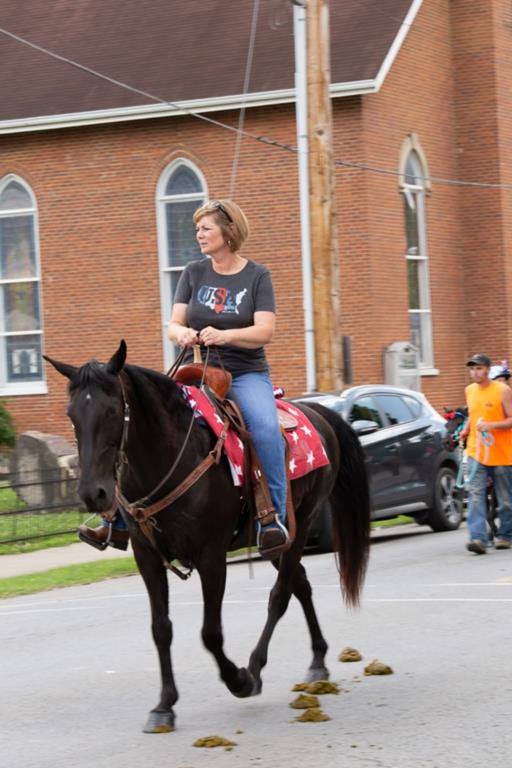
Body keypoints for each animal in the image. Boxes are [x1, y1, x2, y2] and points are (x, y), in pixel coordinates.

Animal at [46, 340, 370, 732]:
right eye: (72, 414)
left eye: (112, 410)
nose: (93, 494)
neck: (171, 457)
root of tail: (317, 410)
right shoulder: (146, 557)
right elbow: (161, 629)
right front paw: (164, 705)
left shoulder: (211, 556)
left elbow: (210, 632)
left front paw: (238, 679)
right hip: (277, 543)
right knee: (301, 584)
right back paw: (318, 661)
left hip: (300, 524)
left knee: (280, 596)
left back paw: (256, 668)